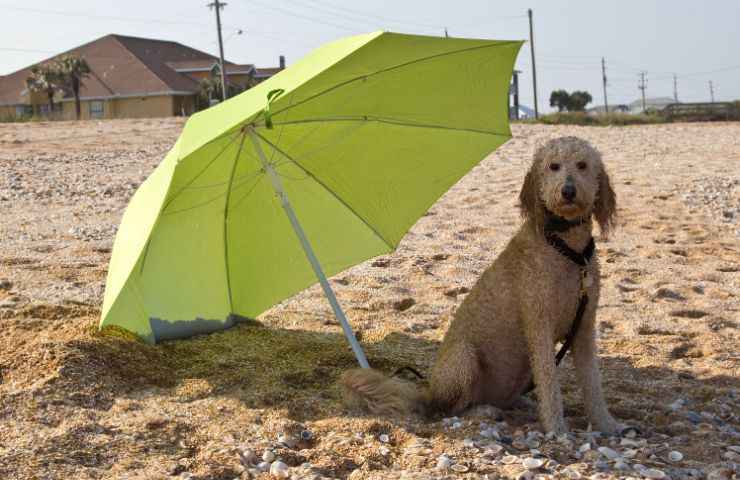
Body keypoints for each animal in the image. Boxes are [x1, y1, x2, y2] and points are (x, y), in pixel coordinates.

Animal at [344, 136, 620, 436]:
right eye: (553, 166)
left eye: (582, 165)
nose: (568, 191)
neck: (566, 248)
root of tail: (429, 392)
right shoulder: (539, 326)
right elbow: (550, 384)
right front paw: (557, 428)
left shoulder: (584, 328)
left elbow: (593, 383)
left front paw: (607, 424)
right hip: (464, 358)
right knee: (449, 410)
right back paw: (482, 411)